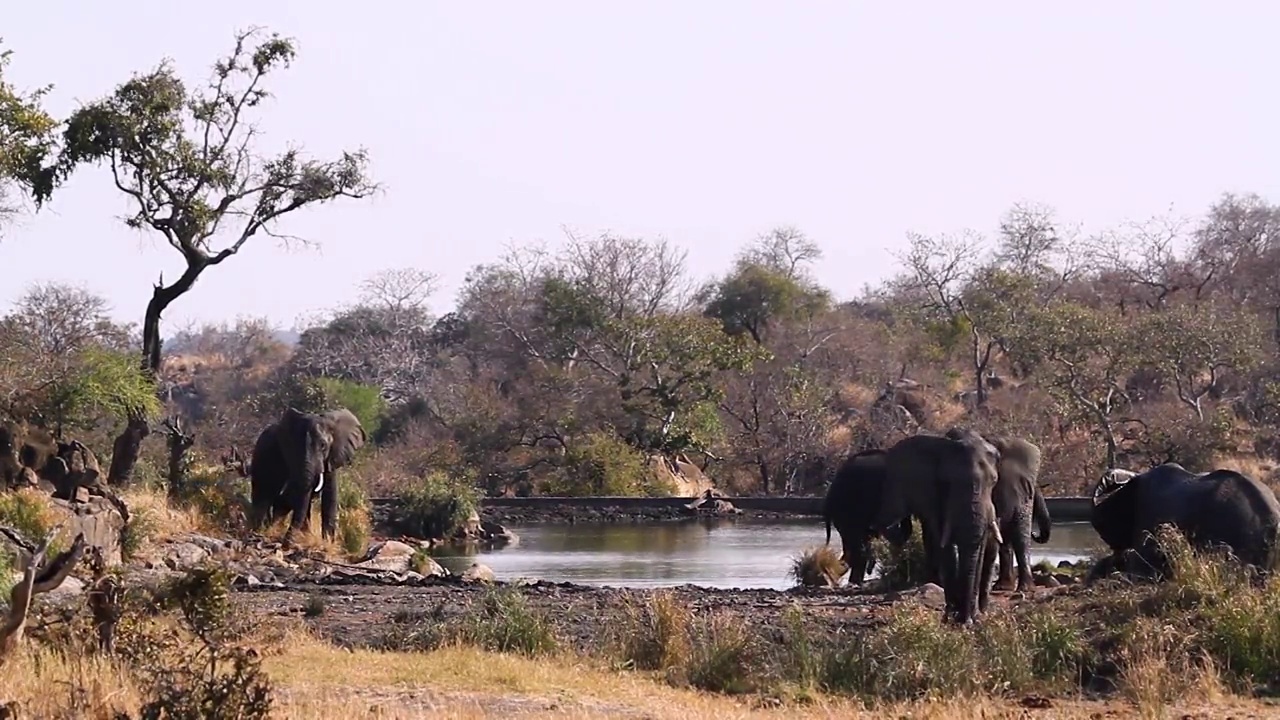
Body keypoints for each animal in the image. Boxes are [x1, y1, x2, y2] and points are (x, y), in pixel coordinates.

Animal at [247, 404, 366, 538]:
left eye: (323, 446)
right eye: (295, 444)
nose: (285, 540)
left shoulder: (332, 456)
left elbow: (329, 492)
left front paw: (326, 540)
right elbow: (299, 490)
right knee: (264, 491)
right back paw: (260, 527)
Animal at [875, 425, 1003, 622]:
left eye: (994, 481)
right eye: (946, 482)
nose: (966, 620)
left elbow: (978, 547)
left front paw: (970, 619)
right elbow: (945, 546)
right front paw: (952, 618)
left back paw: (983, 611)